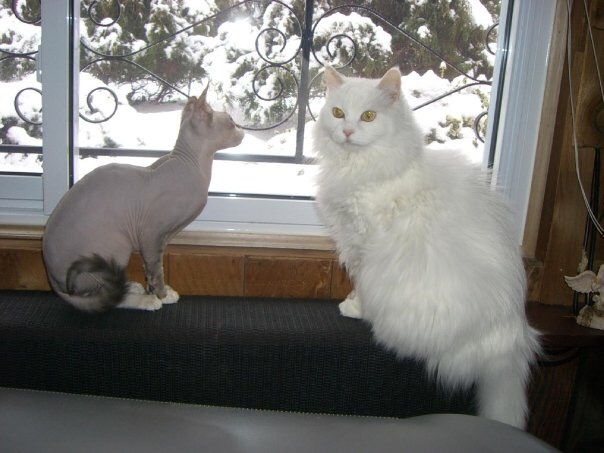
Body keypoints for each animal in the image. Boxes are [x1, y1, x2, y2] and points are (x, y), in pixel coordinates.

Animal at [43, 86, 244, 312]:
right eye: (231, 121)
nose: (242, 130)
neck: (194, 165)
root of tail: (55, 282)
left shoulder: (161, 238)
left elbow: (151, 267)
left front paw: (154, 290)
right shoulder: (150, 233)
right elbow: (157, 268)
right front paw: (160, 295)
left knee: (107, 288)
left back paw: (130, 286)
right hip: (117, 243)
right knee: (109, 297)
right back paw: (141, 300)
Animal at [313, 66, 540, 429]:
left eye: (368, 116)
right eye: (337, 113)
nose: (347, 131)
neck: (360, 166)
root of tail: (511, 339)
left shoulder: (364, 243)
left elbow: (361, 284)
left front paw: (354, 306)